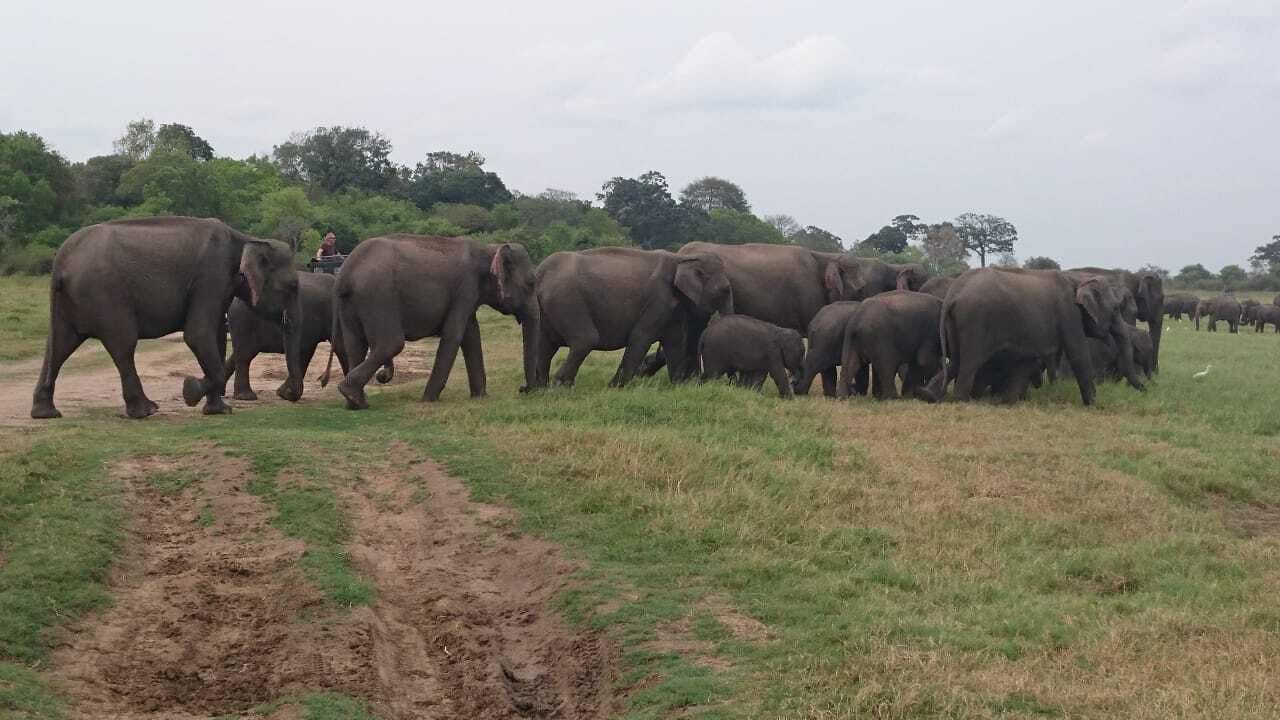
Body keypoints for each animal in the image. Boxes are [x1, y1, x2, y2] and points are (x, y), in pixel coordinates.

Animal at [31, 217, 298, 419]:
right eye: (293, 286)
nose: (287, 395)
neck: (247, 239)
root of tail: (61, 264)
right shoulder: (211, 276)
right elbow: (197, 334)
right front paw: (190, 391)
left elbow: (215, 334)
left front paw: (218, 409)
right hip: (105, 295)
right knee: (123, 344)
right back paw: (145, 411)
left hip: (68, 301)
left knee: (59, 345)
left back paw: (46, 413)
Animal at [224, 272, 348, 402]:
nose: (322, 381)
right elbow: (340, 346)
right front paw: (284, 394)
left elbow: (305, 352)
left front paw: (283, 394)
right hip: (243, 323)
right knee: (245, 355)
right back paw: (246, 397)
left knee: (240, 354)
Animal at [333, 235, 538, 410]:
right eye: (531, 283)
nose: (523, 389)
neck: (489, 248)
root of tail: (345, 274)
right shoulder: (465, 289)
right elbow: (453, 335)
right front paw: (428, 400)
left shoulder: (468, 296)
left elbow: (472, 336)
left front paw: (480, 397)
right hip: (378, 296)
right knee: (390, 344)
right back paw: (351, 395)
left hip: (351, 304)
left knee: (355, 345)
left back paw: (355, 403)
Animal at [532, 247, 733, 388]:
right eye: (724, 290)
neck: (681, 259)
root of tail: (540, 273)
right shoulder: (658, 299)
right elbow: (640, 337)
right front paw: (614, 387)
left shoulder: (672, 308)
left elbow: (675, 341)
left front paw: (679, 386)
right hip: (566, 300)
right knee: (585, 340)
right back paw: (560, 385)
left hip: (548, 308)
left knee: (544, 344)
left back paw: (539, 388)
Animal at [922, 268, 1143, 406]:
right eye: (1115, 309)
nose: (1146, 390)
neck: (1077, 279)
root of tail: (952, 294)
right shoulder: (1068, 313)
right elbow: (1078, 352)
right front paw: (1093, 404)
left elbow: (1028, 358)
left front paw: (1010, 400)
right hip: (975, 320)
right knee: (970, 361)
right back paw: (961, 400)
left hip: (957, 322)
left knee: (957, 360)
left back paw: (929, 395)